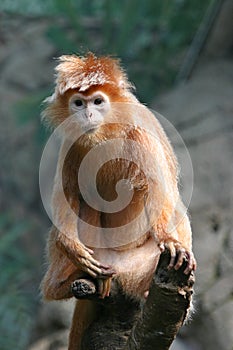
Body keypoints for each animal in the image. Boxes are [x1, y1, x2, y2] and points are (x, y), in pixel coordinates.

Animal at [40, 52, 197, 350]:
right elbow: (67, 195)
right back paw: (67, 282)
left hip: (136, 266)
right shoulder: (72, 141)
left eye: (97, 102)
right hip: (98, 256)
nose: (88, 114)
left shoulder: (141, 134)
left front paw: (170, 240)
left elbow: (162, 191)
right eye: (78, 103)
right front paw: (71, 247)